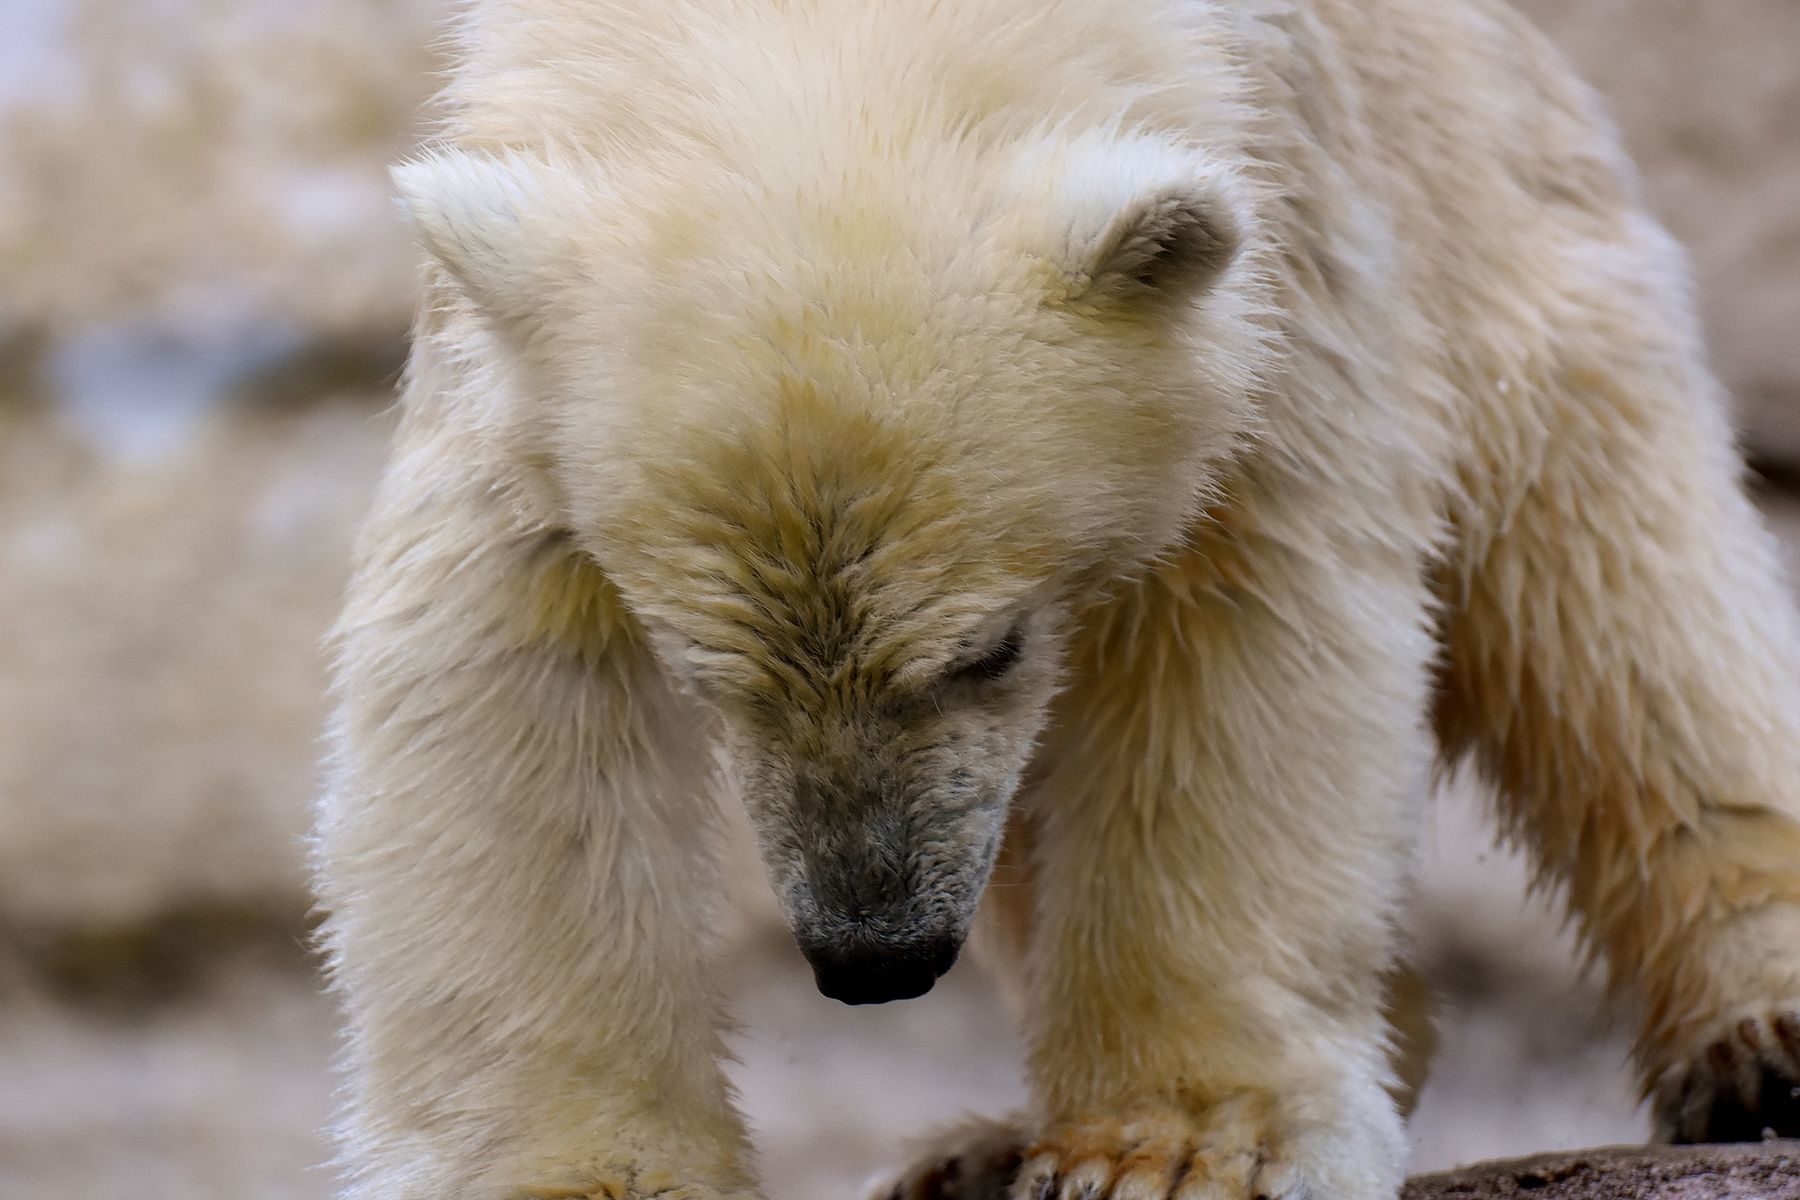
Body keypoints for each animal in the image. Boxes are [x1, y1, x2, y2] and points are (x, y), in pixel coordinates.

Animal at [316, 2, 1800, 1200]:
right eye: (708, 675)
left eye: (991, 645)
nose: (875, 955)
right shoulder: (503, 376)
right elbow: (503, 696)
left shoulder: (1276, 248)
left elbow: (1242, 635)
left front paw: (1176, 1150)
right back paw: (975, 1154)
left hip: (1493, 190)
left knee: (1609, 578)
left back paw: (1762, 1045)